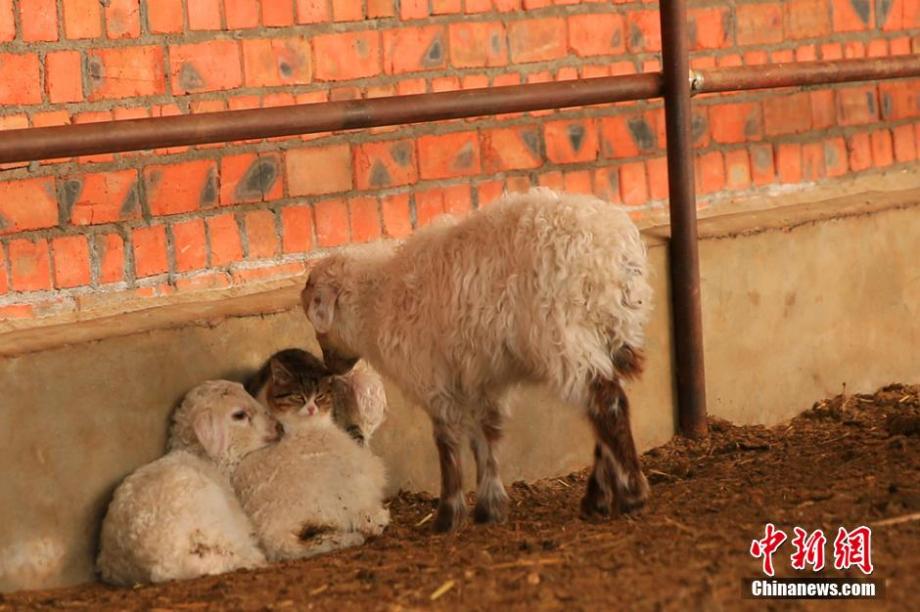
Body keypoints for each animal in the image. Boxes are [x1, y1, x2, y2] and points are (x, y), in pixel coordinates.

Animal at [300, 188, 653, 532]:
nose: (329, 366)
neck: (380, 300)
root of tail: (614, 252)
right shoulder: (479, 377)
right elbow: (486, 437)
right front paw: (490, 507)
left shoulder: (434, 379)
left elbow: (447, 443)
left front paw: (447, 516)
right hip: (610, 335)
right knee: (606, 407)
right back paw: (599, 499)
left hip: (566, 335)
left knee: (607, 402)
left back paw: (631, 493)